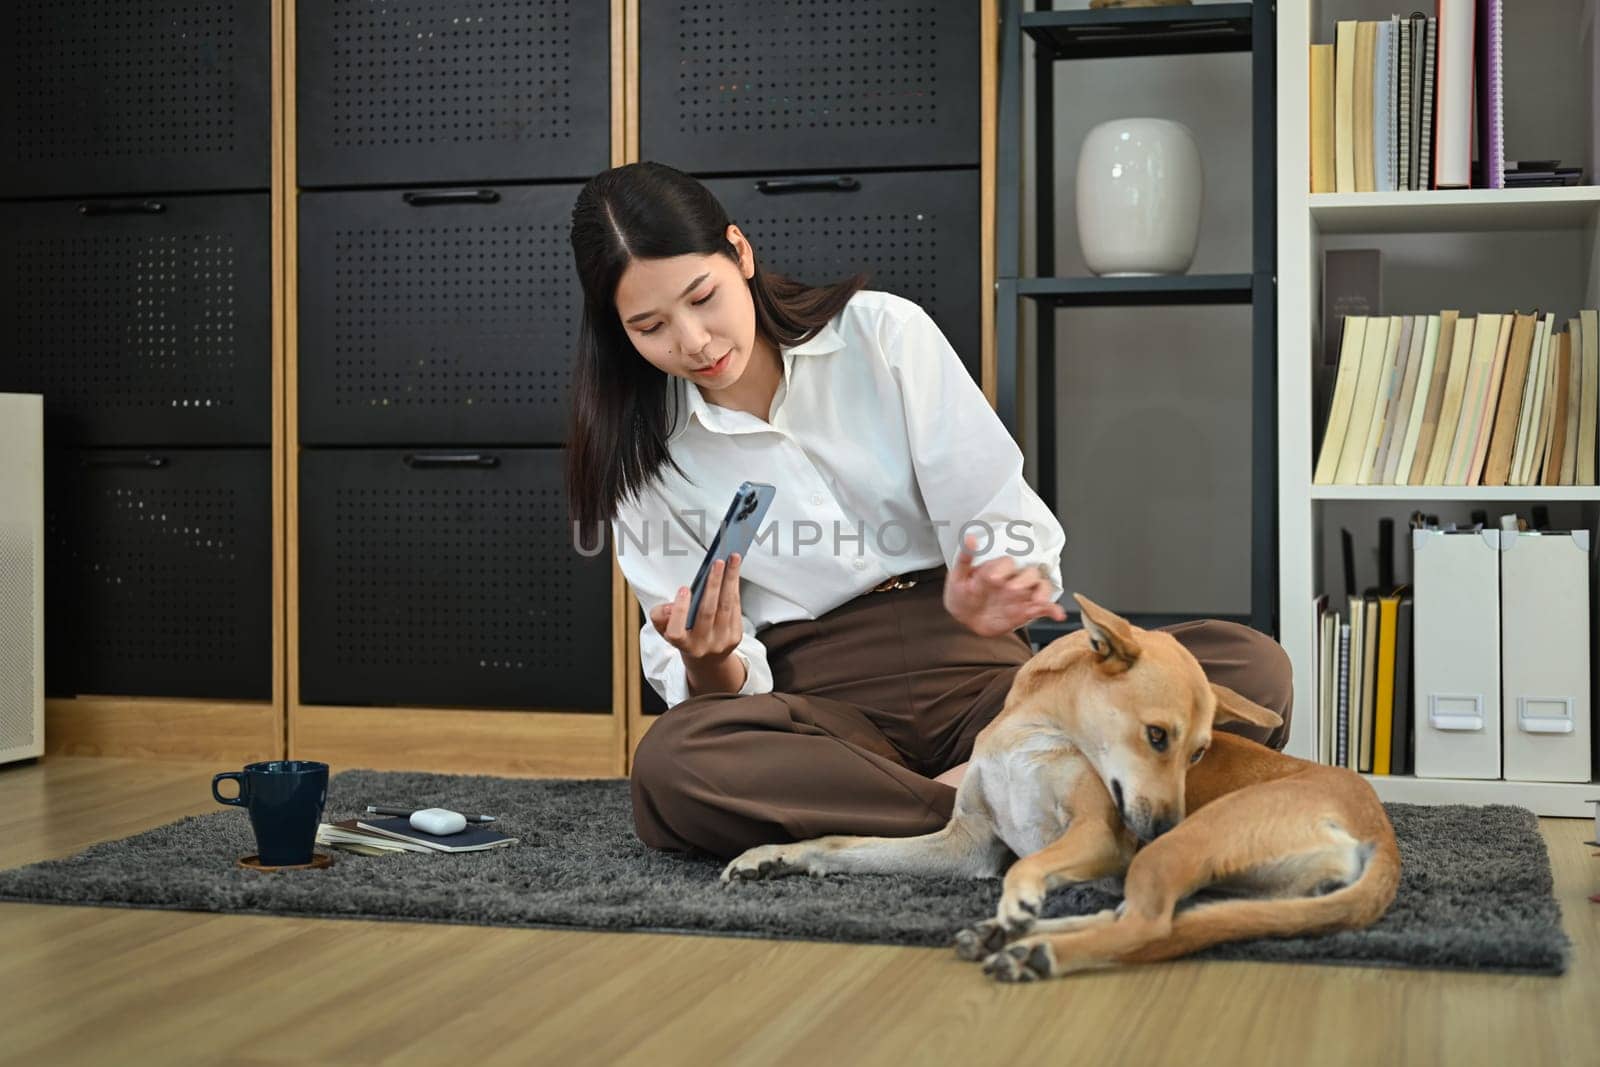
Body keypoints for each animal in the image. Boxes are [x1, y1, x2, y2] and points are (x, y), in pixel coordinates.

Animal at [726, 591, 1401, 985]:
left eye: (1200, 753)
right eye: (1158, 736)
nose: (1165, 824)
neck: (1034, 735)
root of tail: (1381, 832)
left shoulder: (1099, 834)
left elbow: (1029, 867)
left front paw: (1019, 900)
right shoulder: (965, 844)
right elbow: (842, 843)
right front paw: (775, 857)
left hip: (1172, 854)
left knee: (1148, 929)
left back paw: (1034, 948)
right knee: (1145, 917)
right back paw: (1008, 938)